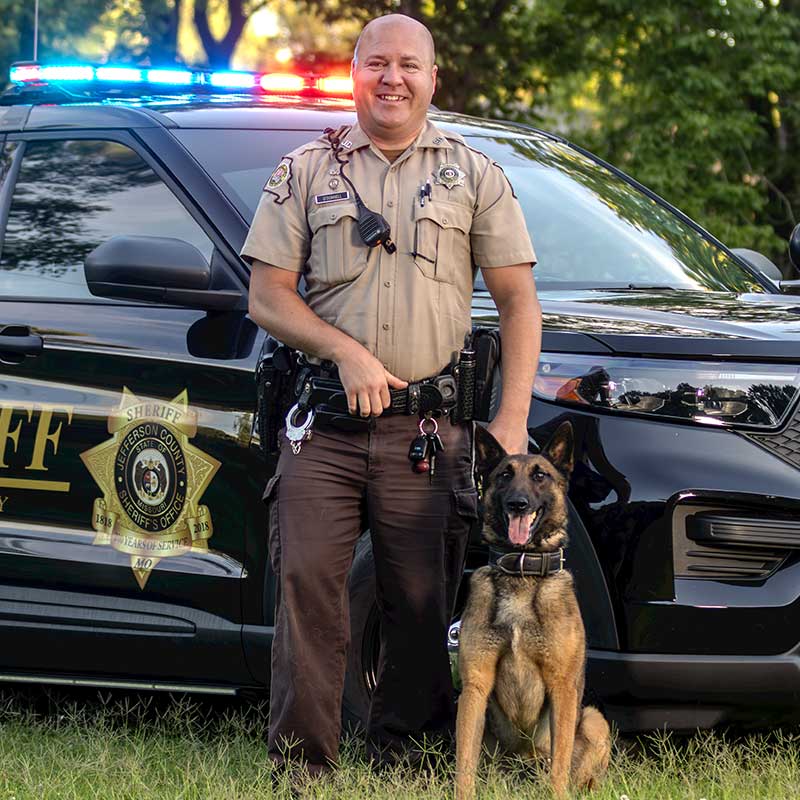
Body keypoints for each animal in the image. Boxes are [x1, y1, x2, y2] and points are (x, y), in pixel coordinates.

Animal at [454, 422, 608, 796]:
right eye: (504, 475)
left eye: (540, 475)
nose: (518, 504)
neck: (521, 570)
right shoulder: (474, 688)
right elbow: (464, 764)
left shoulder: (563, 688)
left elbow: (560, 764)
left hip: (594, 720)